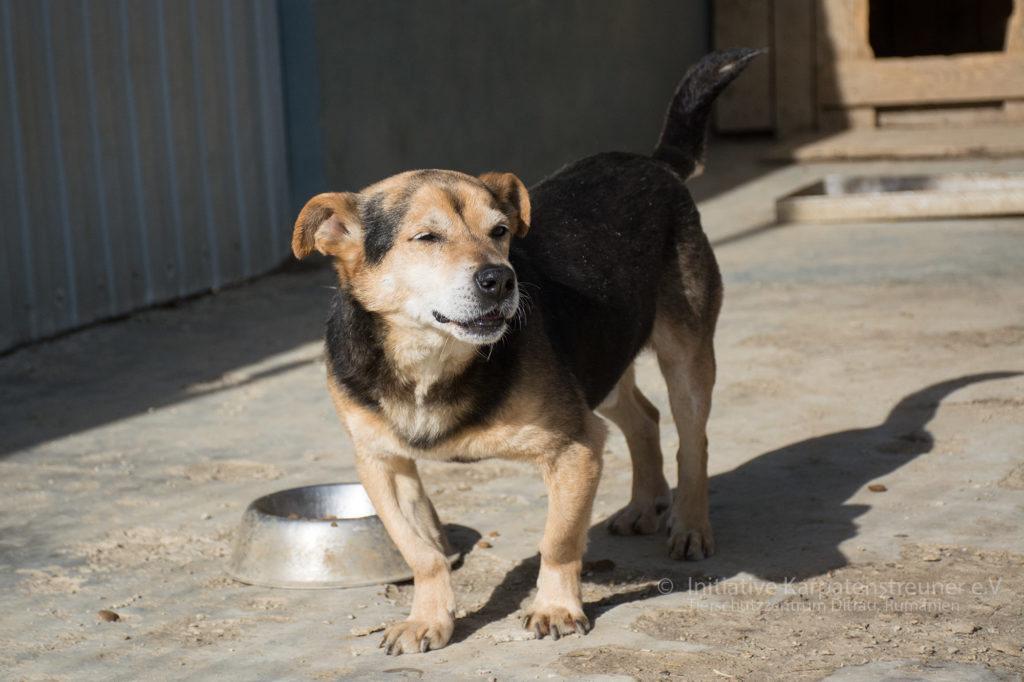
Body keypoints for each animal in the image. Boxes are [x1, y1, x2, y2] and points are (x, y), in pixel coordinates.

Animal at [288, 49, 761, 655]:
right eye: (426, 238)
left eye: (500, 231)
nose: (501, 279)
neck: (430, 361)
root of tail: (654, 162)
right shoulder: (381, 463)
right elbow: (422, 553)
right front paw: (429, 618)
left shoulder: (575, 448)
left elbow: (558, 541)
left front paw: (556, 607)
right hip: (601, 363)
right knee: (644, 418)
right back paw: (642, 505)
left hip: (685, 355)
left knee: (692, 440)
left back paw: (691, 525)